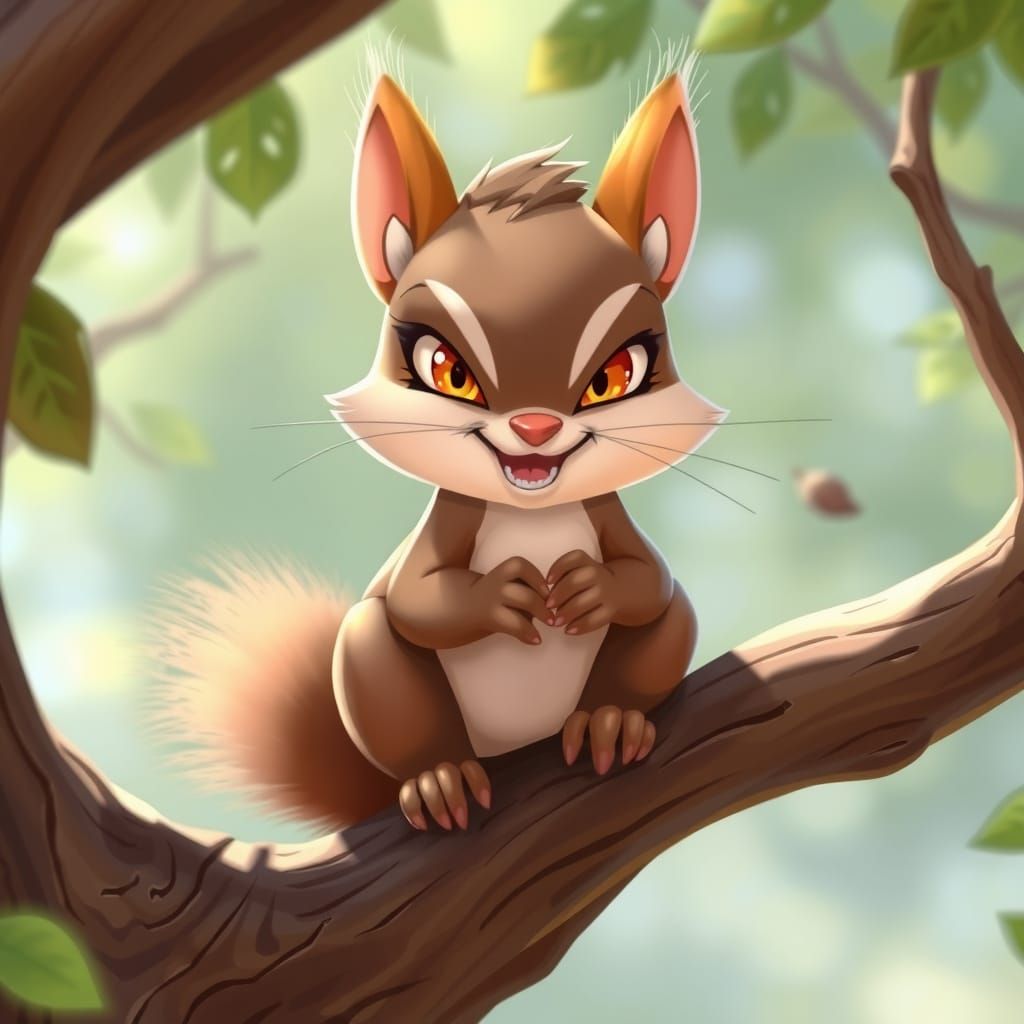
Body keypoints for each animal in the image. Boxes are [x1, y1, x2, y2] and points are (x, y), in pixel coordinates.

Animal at [153, 59, 723, 833]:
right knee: (386, 659)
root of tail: (518, 742)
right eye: (445, 369)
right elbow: (416, 597)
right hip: (371, 662)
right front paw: (500, 596)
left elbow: (649, 578)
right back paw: (438, 779)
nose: (536, 429)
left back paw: (612, 719)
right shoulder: (451, 516)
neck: (532, 508)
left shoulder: (607, 511)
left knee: (672, 612)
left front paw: (589, 588)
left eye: (617, 376)